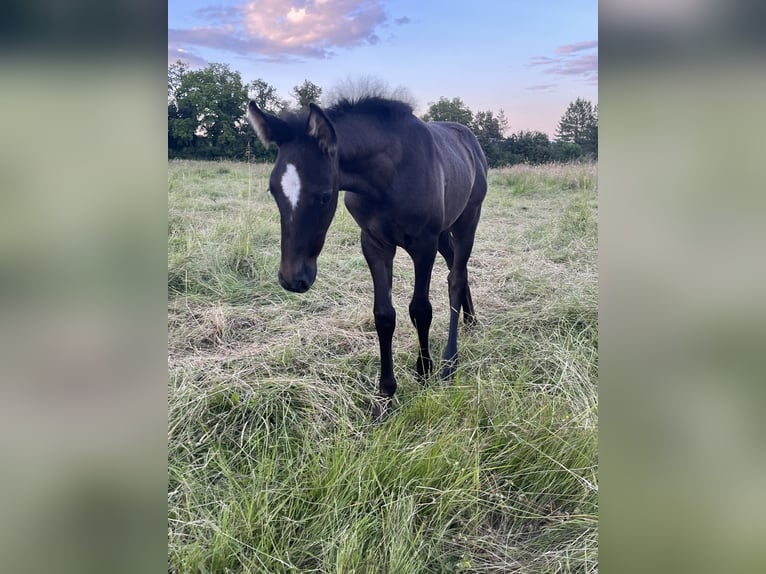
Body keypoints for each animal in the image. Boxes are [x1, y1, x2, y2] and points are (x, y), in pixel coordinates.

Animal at [250, 97, 492, 416]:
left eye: (325, 195)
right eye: (273, 191)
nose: (293, 279)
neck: (389, 177)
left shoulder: (423, 245)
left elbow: (420, 309)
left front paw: (423, 372)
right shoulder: (375, 244)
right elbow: (384, 315)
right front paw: (385, 395)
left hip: (467, 219)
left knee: (456, 277)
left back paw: (450, 362)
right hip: (444, 231)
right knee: (456, 267)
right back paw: (471, 320)